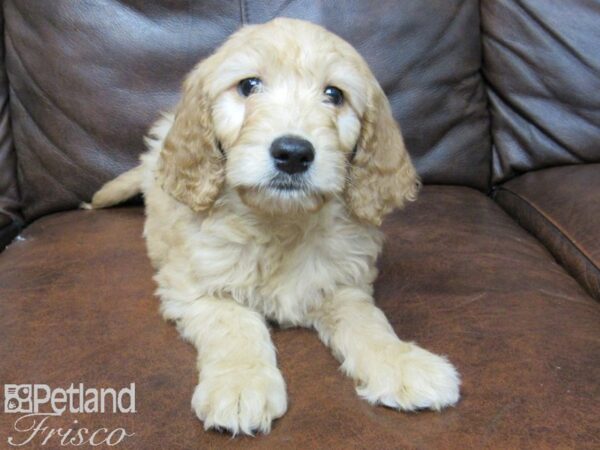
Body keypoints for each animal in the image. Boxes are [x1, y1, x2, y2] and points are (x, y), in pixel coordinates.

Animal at [88, 17, 460, 436]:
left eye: (334, 94)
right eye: (249, 85)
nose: (293, 153)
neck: (280, 222)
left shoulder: (342, 280)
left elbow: (368, 321)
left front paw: (401, 362)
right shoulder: (196, 285)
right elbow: (233, 324)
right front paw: (240, 383)